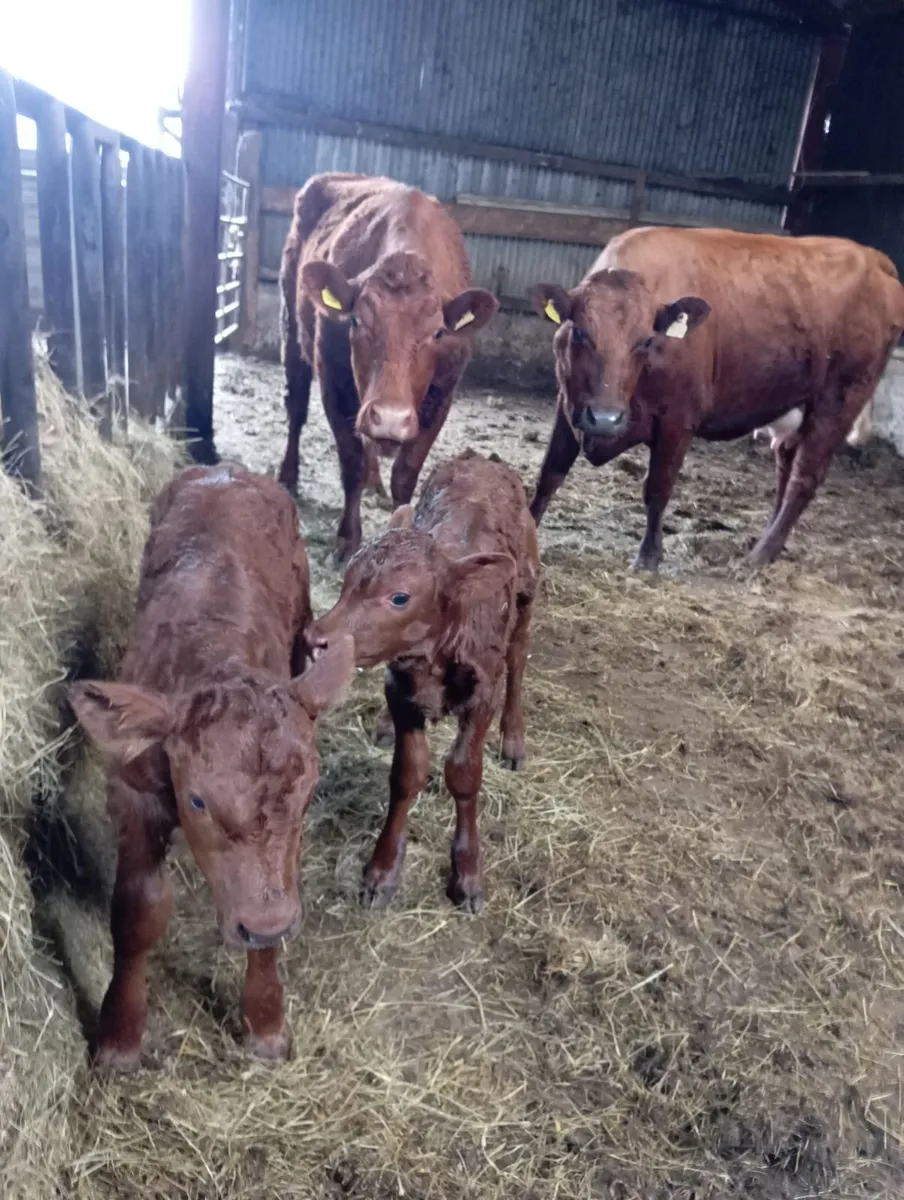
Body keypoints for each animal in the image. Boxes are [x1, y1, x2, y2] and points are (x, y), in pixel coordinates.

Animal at [69, 463, 354, 1069]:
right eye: (197, 799)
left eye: (309, 796)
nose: (264, 925)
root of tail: (231, 471)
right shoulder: (132, 790)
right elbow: (139, 911)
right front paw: (119, 1037)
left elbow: (278, 888)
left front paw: (266, 1021)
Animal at [279, 172, 499, 563]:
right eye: (355, 322)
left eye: (438, 332)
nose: (391, 419)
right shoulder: (335, 383)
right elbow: (350, 461)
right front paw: (347, 539)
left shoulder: (442, 395)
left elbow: (406, 473)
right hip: (292, 330)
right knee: (296, 406)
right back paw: (289, 475)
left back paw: (374, 480)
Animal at [308, 451, 540, 914]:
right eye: (348, 580)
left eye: (400, 597)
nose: (317, 637)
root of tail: (483, 460)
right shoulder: (401, 689)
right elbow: (407, 774)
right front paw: (381, 872)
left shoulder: (482, 693)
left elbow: (464, 774)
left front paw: (467, 875)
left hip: (528, 590)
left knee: (519, 655)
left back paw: (513, 739)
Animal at [528, 228, 904, 569]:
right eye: (579, 333)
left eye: (646, 341)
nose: (606, 419)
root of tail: (875, 259)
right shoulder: (569, 405)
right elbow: (550, 474)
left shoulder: (678, 419)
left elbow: (657, 488)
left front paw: (649, 558)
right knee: (785, 468)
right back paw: (768, 543)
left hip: (840, 399)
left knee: (804, 477)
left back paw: (760, 556)